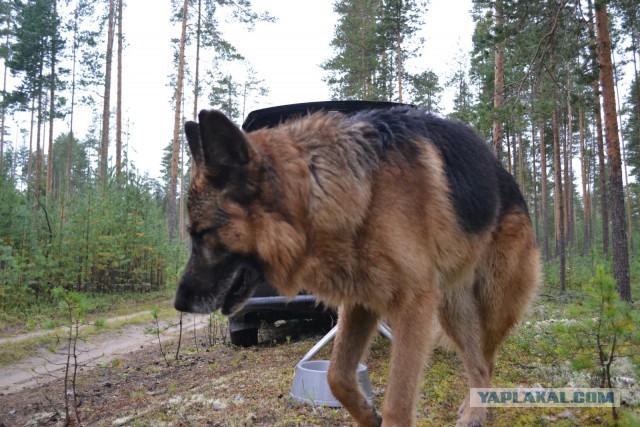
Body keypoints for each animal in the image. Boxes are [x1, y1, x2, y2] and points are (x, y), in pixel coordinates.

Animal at [175, 107, 540, 427]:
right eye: (191, 233)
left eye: (202, 233)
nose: (178, 303)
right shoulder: (361, 301)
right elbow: (337, 376)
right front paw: (367, 414)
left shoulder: (413, 306)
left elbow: (398, 404)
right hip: (452, 312)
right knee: (478, 360)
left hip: (493, 305)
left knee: (485, 362)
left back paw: (475, 413)